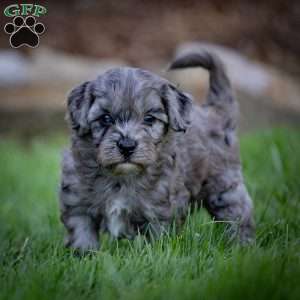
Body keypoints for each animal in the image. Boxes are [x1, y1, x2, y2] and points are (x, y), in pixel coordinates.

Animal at [59, 50, 254, 252]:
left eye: (149, 118)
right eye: (105, 118)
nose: (127, 145)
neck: (121, 178)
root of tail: (216, 111)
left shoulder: (160, 214)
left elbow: (158, 245)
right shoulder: (78, 206)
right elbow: (82, 237)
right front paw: (84, 256)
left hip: (225, 187)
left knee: (238, 215)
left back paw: (241, 246)